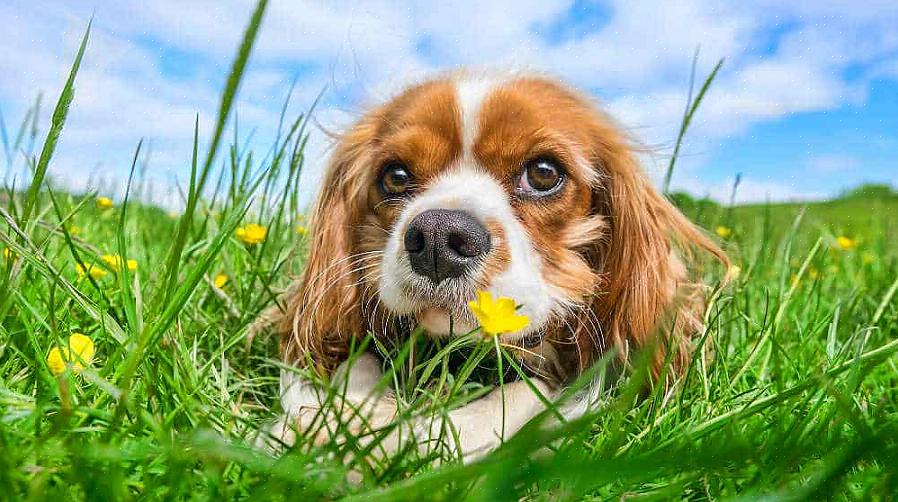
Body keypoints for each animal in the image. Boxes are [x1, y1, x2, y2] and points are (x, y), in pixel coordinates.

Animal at [260, 70, 728, 462]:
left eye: (543, 173)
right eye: (395, 176)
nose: (437, 237)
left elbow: (525, 395)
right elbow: (351, 365)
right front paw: (337, 420)